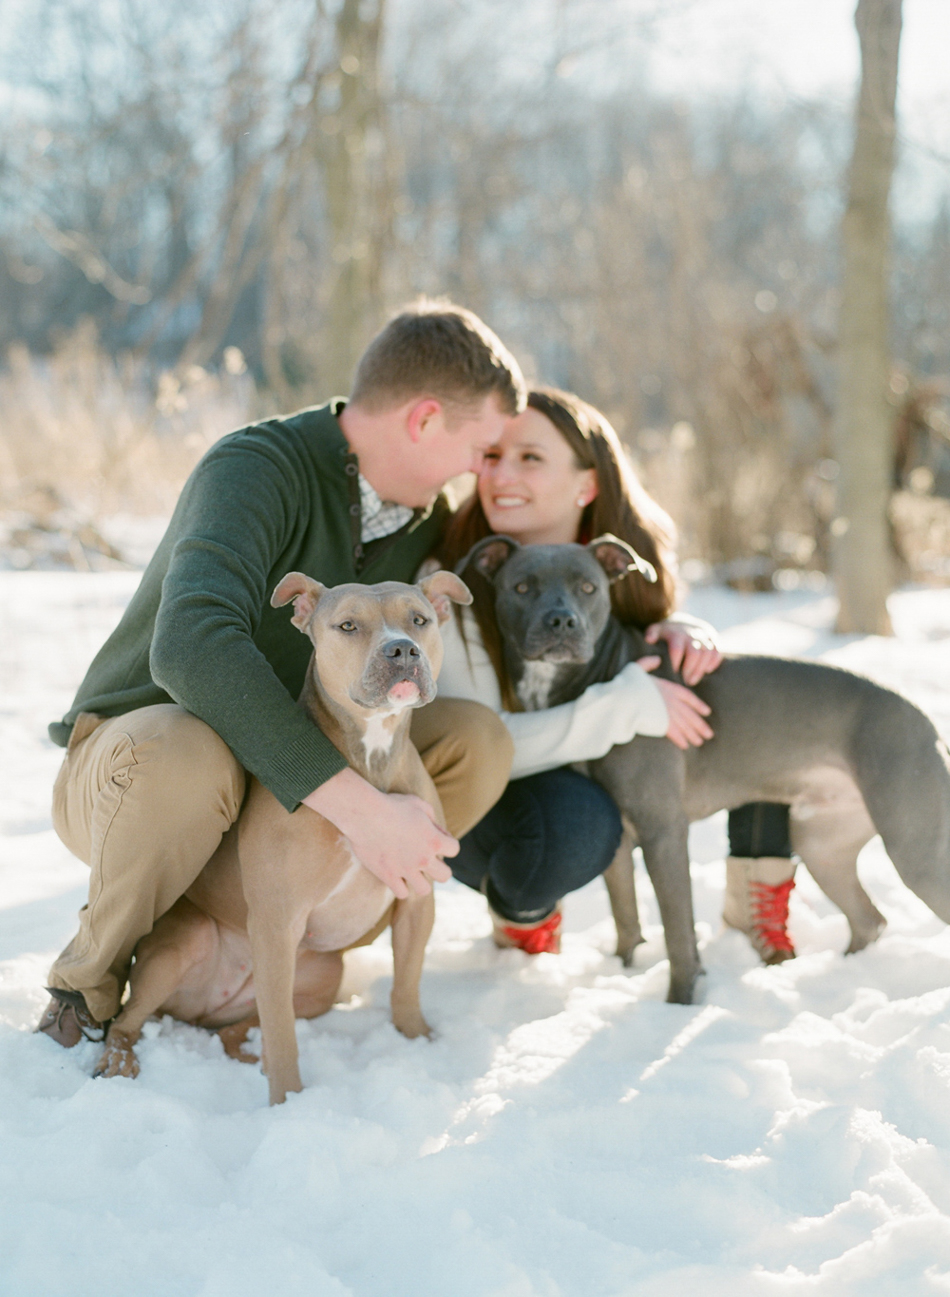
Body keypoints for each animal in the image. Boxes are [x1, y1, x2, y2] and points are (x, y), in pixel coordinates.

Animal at [92, 568, 472, 1105]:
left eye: (419, 620)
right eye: (348, 625)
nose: (402, 649)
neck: (371, 758)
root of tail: (207, 1009)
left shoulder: (417, 899)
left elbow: (407, 982)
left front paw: (417, 1041)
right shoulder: (276, 921)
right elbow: (283, 1034)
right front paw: (287, 1102)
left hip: (321, 977)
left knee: (244, 1028)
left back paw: (247, 1052)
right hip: (183, 947)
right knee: (129, 1020)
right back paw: (120, 1062)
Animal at [459, 531, 950, 1006]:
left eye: (588, 588)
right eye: (522, 588)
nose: (562, 621)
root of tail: (923, 720)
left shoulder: (663, 832)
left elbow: (678, 933)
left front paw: (678, 1004)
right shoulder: (618, 842)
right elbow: (625, 916)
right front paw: (626, 970)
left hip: (915, 853)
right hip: (822, 844)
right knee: (869, 919)